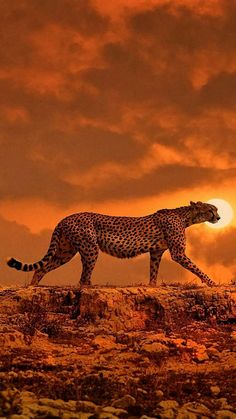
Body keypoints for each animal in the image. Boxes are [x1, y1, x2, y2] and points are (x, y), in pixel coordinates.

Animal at [7, 201, 221, 288]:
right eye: (211, 209)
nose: (219, 217)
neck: (186, 217)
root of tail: (65, 218)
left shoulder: (156, 251)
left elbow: (154, 270)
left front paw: (152, 285)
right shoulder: (178, 253)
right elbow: (196, 268)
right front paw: (211, 282)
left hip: (65, 252)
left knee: (42, 268)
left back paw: (33, 286)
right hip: (90, 248)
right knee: (83, 278)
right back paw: (90, 287)